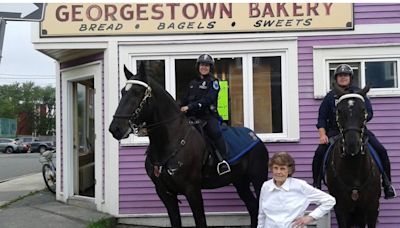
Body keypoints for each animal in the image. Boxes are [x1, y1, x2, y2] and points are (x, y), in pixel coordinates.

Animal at [108, 65, 268, 227]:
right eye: (123, 92)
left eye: (137, 93)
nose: (115, 128)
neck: (169, 143)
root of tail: (255, 137)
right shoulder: (165, 193)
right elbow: (175, 221)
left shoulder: (192, 191)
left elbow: (200, 221)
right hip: (240, 181)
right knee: (253, 207)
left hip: (258, 178)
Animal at [326, 84, 380, 227]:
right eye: (339, 111)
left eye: (363, 110)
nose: (352, 145)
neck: (353, 167)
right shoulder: (341, 209)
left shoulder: (372, 207)